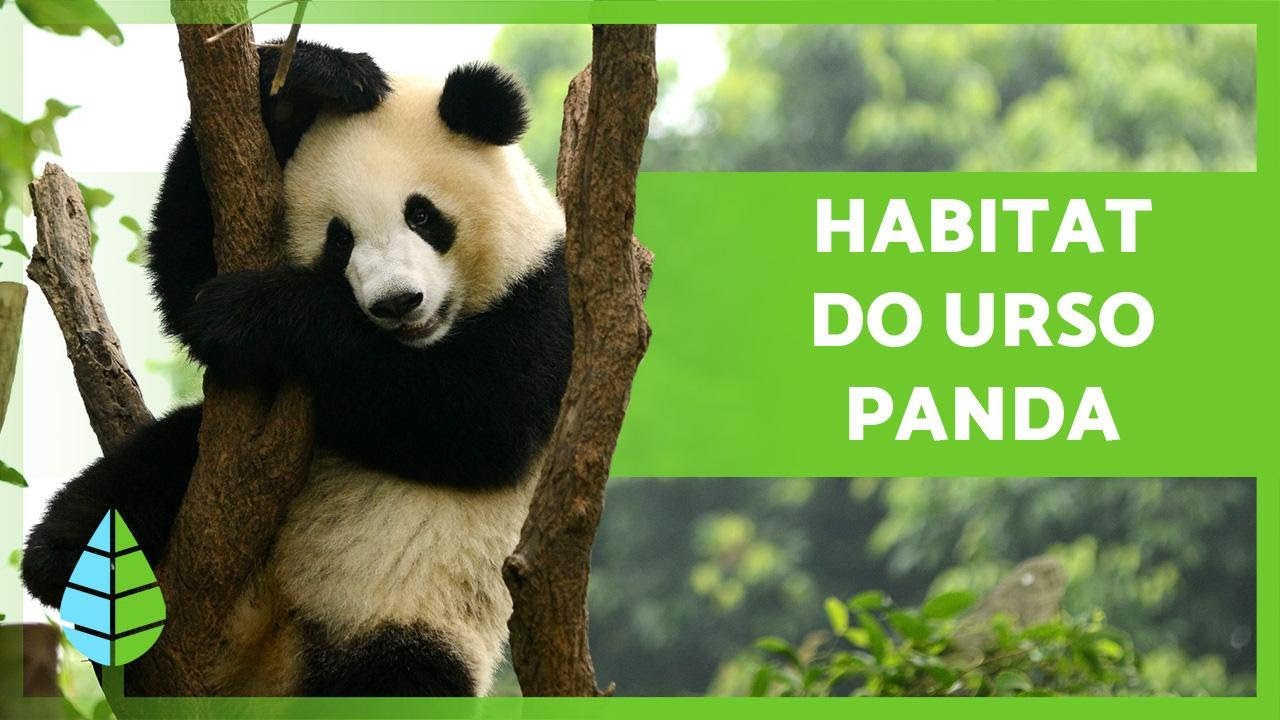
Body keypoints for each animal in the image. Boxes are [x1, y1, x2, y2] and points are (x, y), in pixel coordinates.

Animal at [21, 42, 572, 697]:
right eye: (339, 241)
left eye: (422, 216)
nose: (397, 302)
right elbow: (185, 270)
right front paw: (311, 79)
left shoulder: (551, 297)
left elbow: (483, 418)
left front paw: (252, 311)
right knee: (149, 467)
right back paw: (62, 557)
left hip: (412, 621)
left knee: (398, 676)